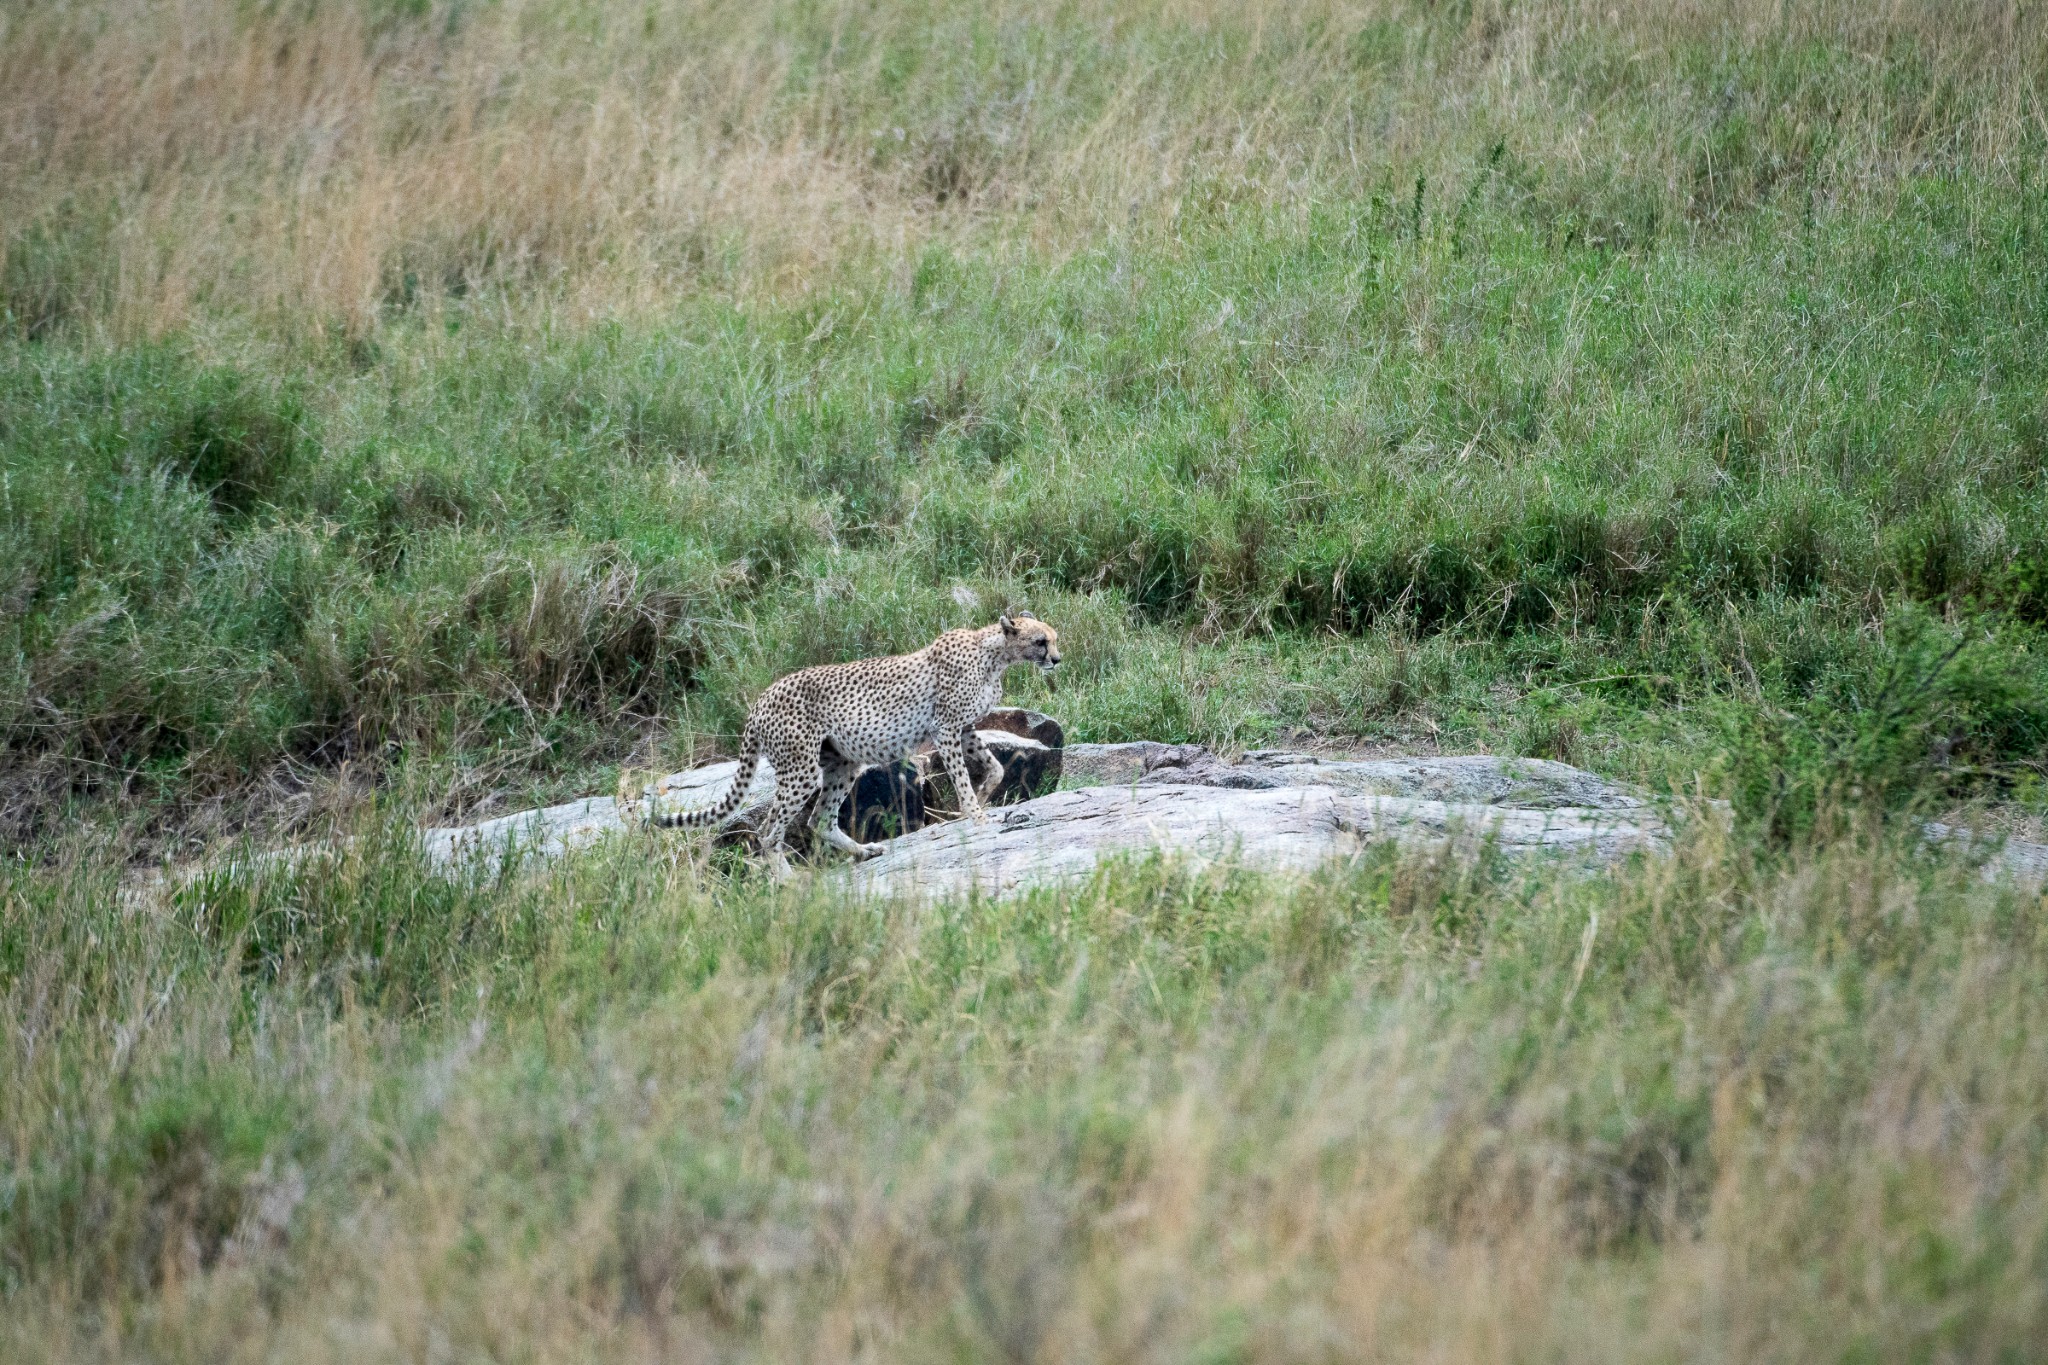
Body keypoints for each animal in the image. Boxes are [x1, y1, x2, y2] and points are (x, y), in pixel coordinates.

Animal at [618, 618, 1064, 875]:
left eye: (1053, 639)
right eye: (1041, 641)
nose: (1058, 660)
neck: (996, 654)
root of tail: (761, 699)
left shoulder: (964, 727)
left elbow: (996, 766)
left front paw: (987, 794)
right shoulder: (946, 729)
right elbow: (961, 777)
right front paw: (975, 814)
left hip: (842, 763)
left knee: (819, 819)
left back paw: (864, 852)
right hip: (800, 769)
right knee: (768, 829)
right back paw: (790, 882)